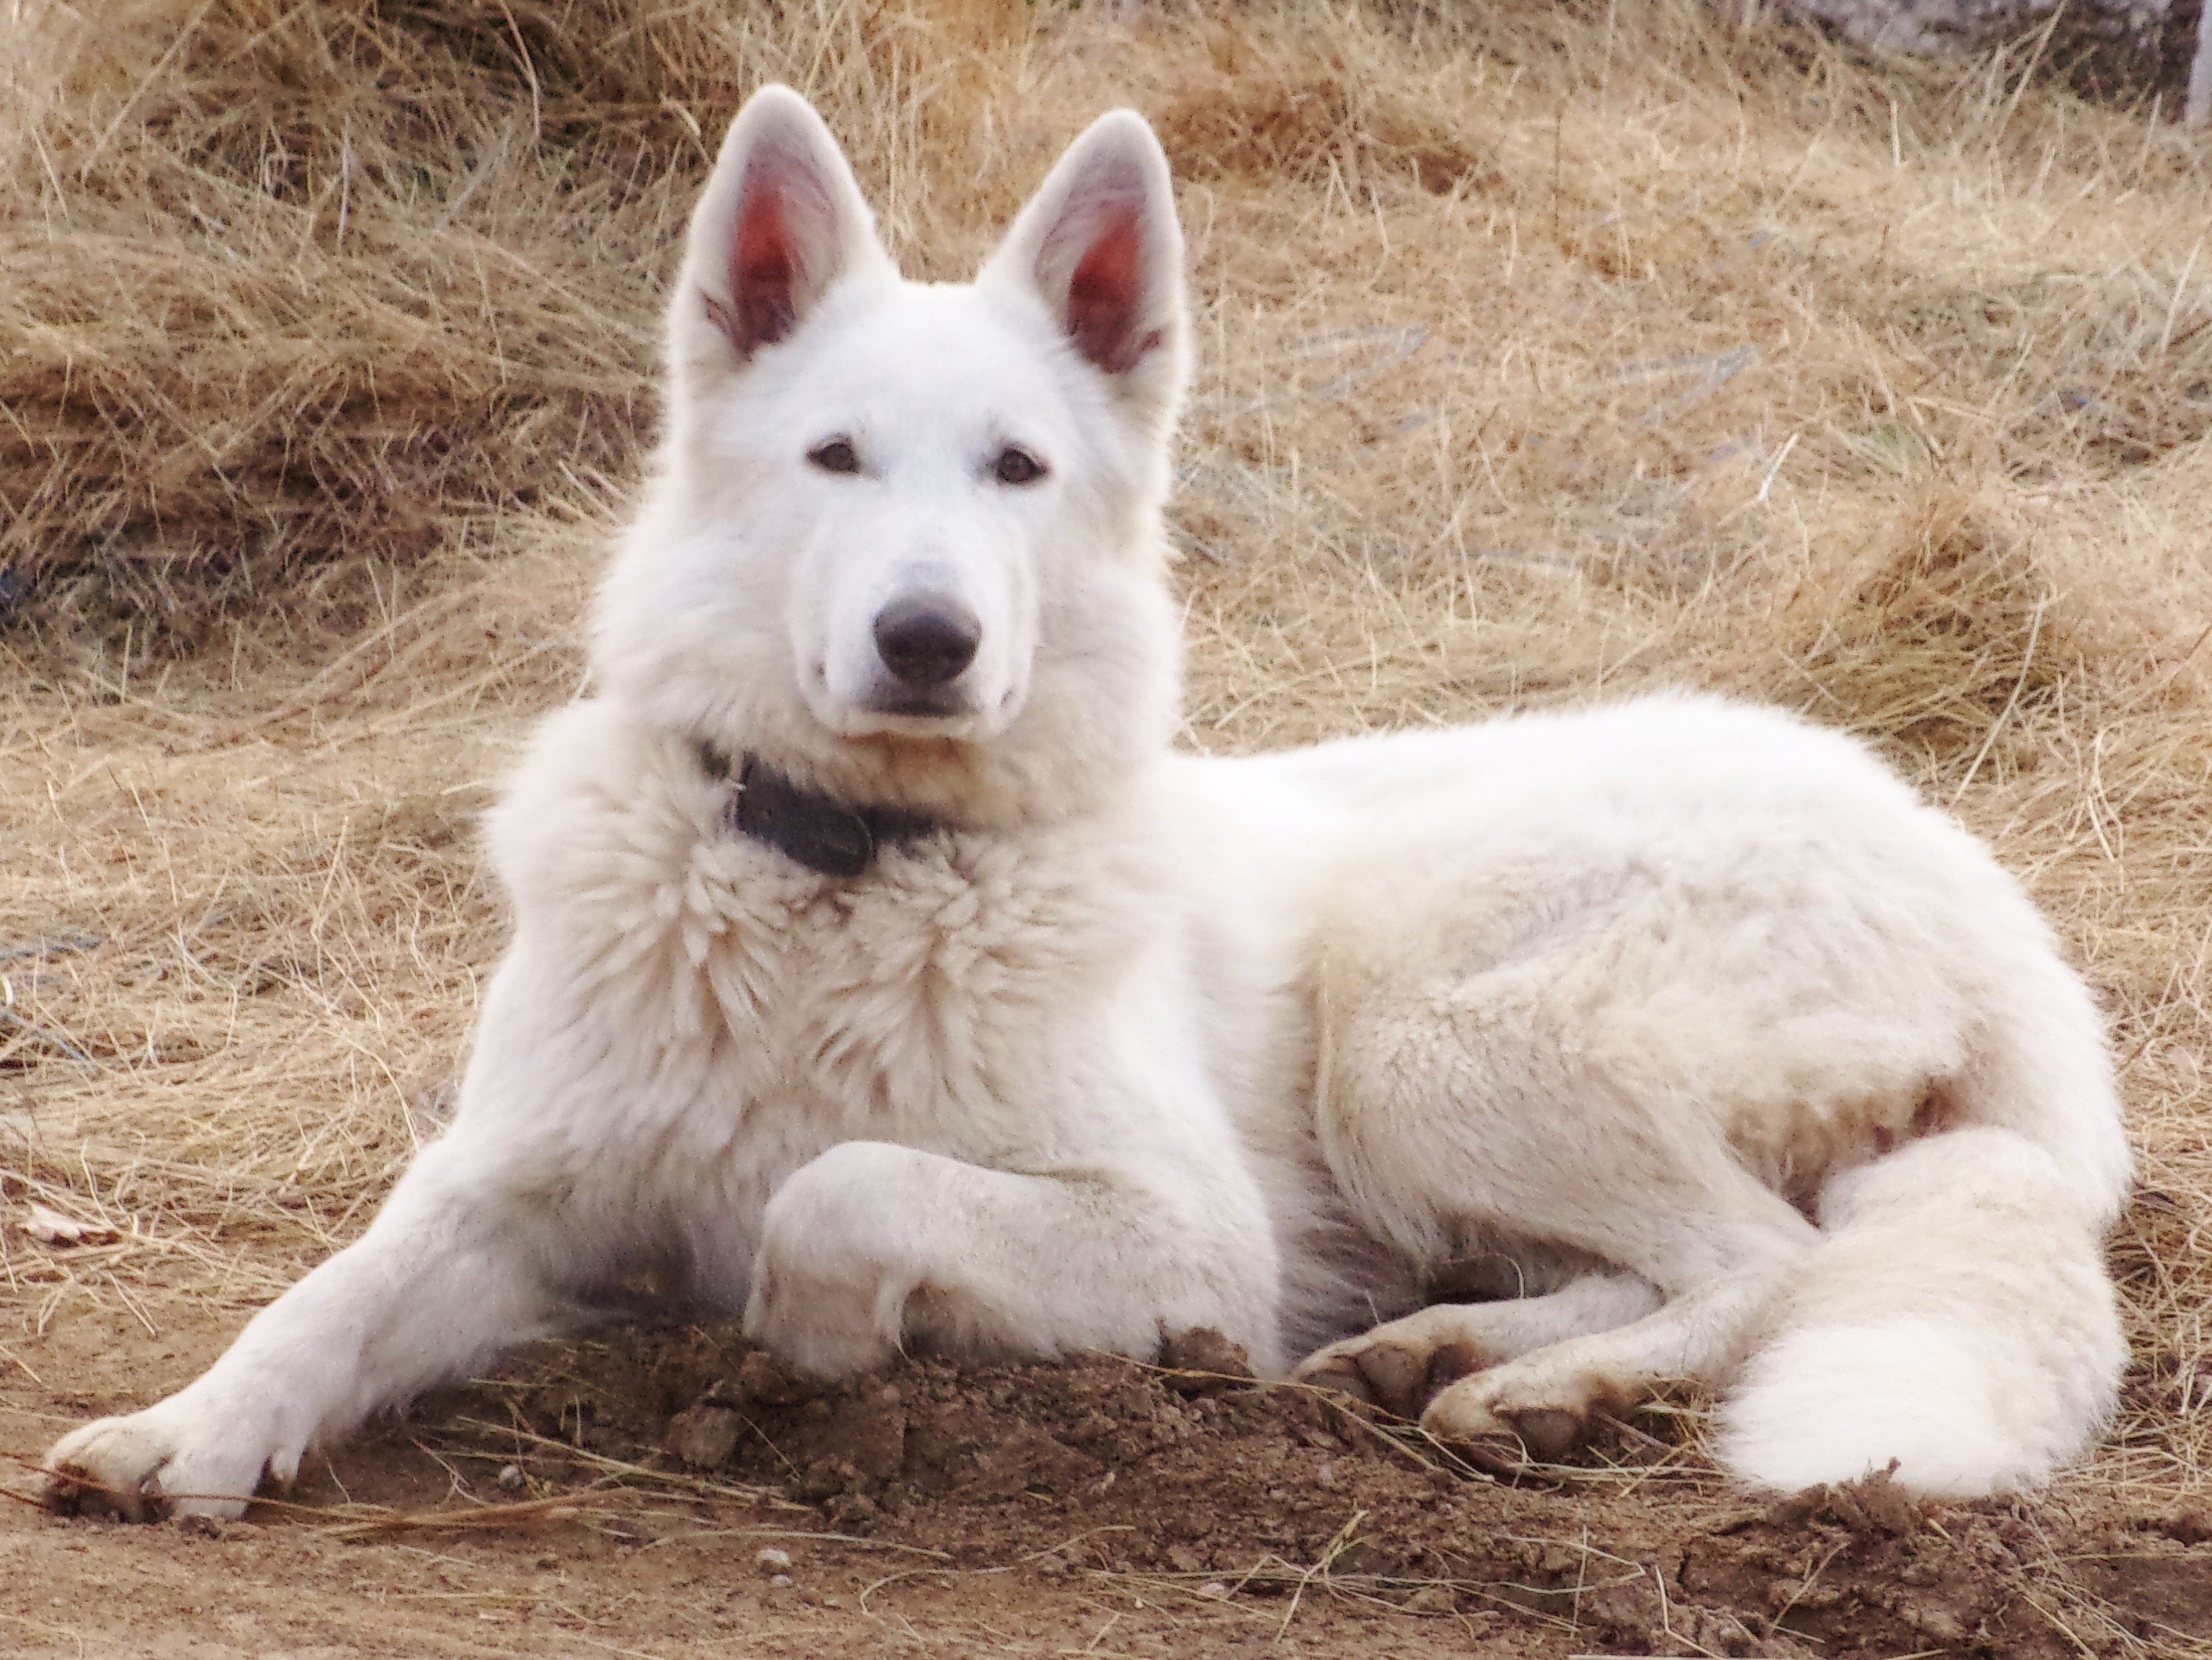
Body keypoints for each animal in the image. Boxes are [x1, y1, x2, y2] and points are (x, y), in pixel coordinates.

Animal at [44, 85, 2131, 1520]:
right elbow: (328, 1297)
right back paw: (1436, 1350)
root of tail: (1979, 898)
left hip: (1421, 1037)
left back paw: (1538, 1393)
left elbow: (832, 1185)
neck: (846, 876)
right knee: (1671, 1260)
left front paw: (817, 1350)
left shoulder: (1178, 1229)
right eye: (835, 457)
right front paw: (184, 1436)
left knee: (1765, 1261)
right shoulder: (505, 1185)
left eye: (1017, 469)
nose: (926, 638)